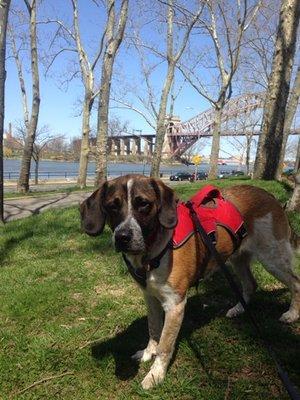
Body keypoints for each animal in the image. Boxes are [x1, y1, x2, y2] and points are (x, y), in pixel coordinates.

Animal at [80, 173, 300, 390]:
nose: (122, 237)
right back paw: (239, 308)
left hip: (272, 258)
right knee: (250, 284)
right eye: (112, 206)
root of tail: (269, 195)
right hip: (236, 258)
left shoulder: (174, 305)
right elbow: (153, 329)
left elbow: (165, 345)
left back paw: (292, 314)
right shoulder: (150, 298)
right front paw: (148, 353)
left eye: (143, 204)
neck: (154, 249)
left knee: (295, 283)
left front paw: (156, 374)